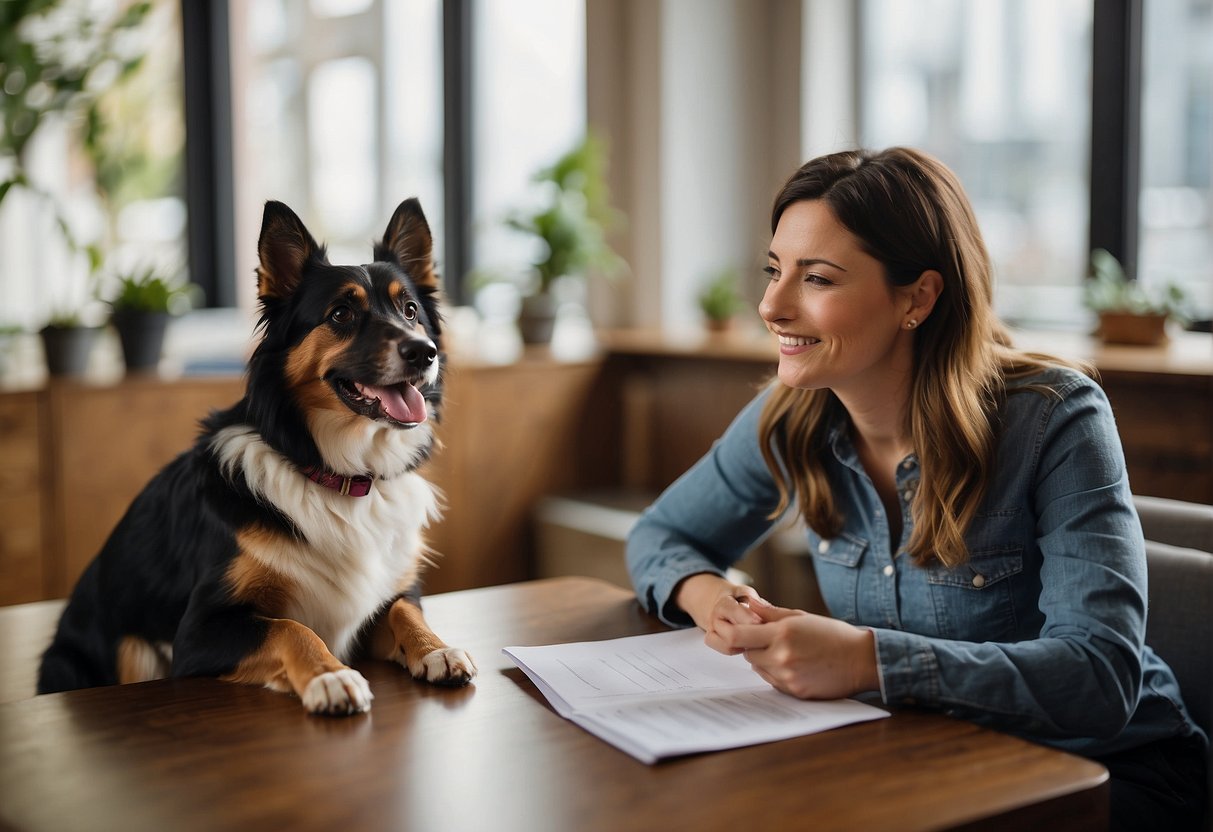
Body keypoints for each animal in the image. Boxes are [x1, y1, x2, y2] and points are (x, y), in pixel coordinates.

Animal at [37, 197, 473, 717]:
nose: (423, 352)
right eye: (341, 313)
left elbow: (406, 610)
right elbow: (290, 627)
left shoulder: (386, 597)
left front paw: (437, 649)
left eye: (410, 310)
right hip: (127, 647)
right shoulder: (198, 632)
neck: (337, 473)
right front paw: (330, 677)